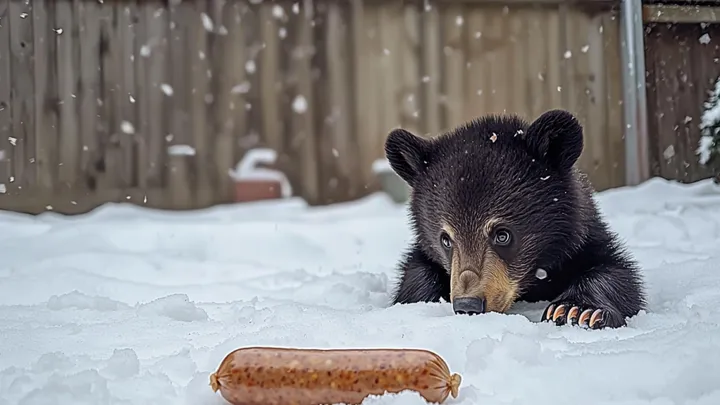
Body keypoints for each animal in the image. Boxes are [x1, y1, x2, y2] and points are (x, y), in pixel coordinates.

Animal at [384, 109, 646, 329]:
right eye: (446, 239)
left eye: (502, 235)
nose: (468, 305)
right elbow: (415, 275)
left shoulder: (580, 242)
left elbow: (616, 273)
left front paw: (577, 310)